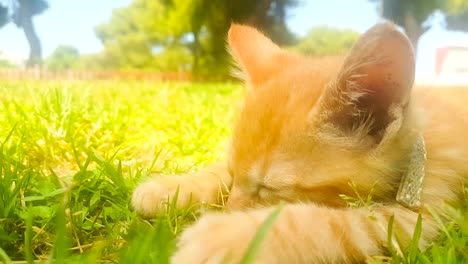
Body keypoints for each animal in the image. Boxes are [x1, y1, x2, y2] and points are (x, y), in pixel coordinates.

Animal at [132, 22, 468, 262]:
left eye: (269, 189)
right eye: (232, 172)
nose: (230, 211)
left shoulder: (421, 215)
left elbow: (336, 225)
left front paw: (227, 238)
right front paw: (168, 188)